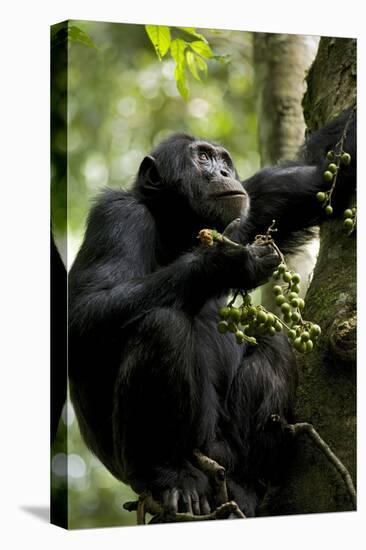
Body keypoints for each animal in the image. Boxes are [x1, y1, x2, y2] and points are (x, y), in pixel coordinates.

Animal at [68, 109, 354, 520]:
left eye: (224, 160)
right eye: (202, 158)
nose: (222, 172)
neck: (177, 227)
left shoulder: (250, 212)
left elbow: (322, 173)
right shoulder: (118, 216)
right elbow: (85, 313)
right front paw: (227, 263)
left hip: (223, 451)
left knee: (272, 343)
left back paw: (245, 485)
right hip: (166, 459)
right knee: (163, 326)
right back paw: (171, 476)